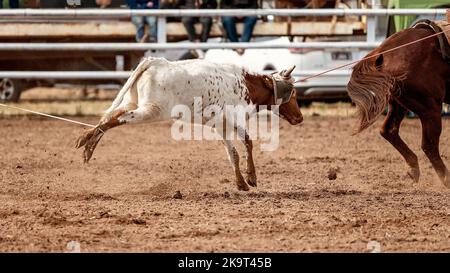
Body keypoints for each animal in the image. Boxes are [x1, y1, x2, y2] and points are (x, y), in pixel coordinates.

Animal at [75, 56, 304, 190]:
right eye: (293, 93)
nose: (300, 117)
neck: (246, 84)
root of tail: (156, 62)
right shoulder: (236, 119)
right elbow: (248, 143)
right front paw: (252, 178)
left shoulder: (220, 126)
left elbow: (233, 154)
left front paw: (241, 184)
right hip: (151, 110)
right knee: (116, 119)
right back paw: (85, 141)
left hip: (133, 102)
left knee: (109, 117)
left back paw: (87, 145)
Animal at [350, 25, 448, 188]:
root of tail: (382, 51)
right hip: (430, 107)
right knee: (429, 145)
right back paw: (446, 179)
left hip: (399, 103)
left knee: (388, 130)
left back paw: (413, 167)